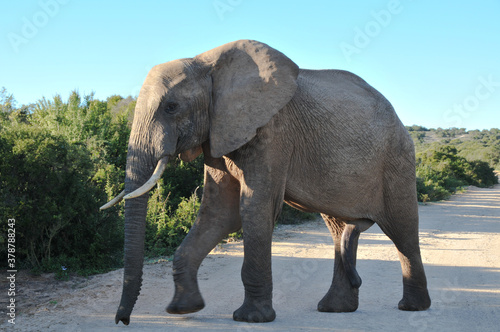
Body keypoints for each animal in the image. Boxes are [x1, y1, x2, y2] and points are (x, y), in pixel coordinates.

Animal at [100, 39, 430, 324]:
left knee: (402, 229)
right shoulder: (220, 131)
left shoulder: (272, 131)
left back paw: (412, 307)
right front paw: (182, 309)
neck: (207, 63)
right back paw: (334, 309)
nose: (122, 320)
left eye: (171, 107)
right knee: (339, 231)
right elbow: (219, 213)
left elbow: (253, 209)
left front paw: (251, 318)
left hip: (397, 160)